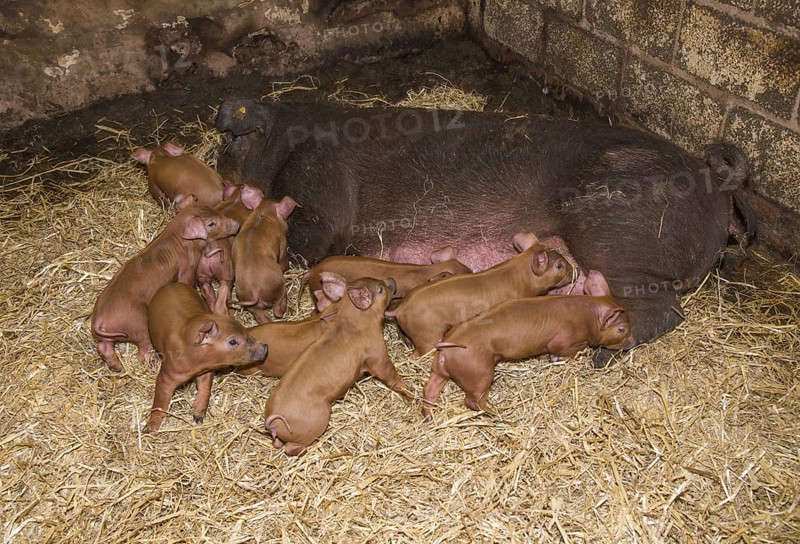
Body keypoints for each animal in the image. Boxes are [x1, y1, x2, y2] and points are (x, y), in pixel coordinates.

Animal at [91, 197, 240, 371]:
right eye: (211, 223)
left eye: (214, 209)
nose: (237, 224)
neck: (180, 237)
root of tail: (100, 320)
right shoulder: (187, 268)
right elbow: (185, 282)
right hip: (138, 322)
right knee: (143, 349)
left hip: (105, 338)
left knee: (104, 348)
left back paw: (118, 368)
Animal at [144, 282, 269, 432]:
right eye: (233, 342)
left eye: (244, 329)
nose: (265, 348)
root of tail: (171, 284)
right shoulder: (166, 375)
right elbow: (160, 402)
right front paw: (148, 430)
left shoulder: (207, 370)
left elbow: (205, 388)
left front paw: (198, 418)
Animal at [230, 191, 297, 323]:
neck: (263, 214)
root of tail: (256, 290)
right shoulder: (282, 244)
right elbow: (283, 260)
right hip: (279, 286)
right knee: (278, 310)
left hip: (246, 300)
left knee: (263, 318)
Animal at [264, 273, 413, 456]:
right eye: (380, 289)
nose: (392, 279)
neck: (354, 318)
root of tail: (273, 423)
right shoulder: (376, 353)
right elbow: (387, 373)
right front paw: (411, 394)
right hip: (317, 420)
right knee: (290, 448)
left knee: (278, 444)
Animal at [423, 271, 635, 417]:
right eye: (621, 329)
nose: (633, 342)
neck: (589, 318)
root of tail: (445, 348)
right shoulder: (564, 340)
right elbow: (565, 350)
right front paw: (556, 357)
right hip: (479, 372)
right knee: (471, 401)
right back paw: (497, 414)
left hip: (439, 370)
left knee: (429, 390)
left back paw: (429, 416)